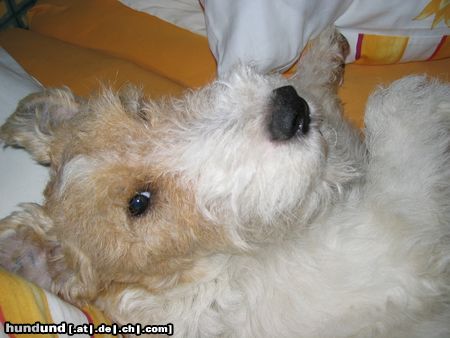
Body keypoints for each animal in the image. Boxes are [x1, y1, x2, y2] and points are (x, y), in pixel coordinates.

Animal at [0, 27, 450, 336]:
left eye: (142, 111)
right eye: (140, 203)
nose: (289, 110)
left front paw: (321, 54)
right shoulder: (392, 242)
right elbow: (394, 109)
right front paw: (428, 98)